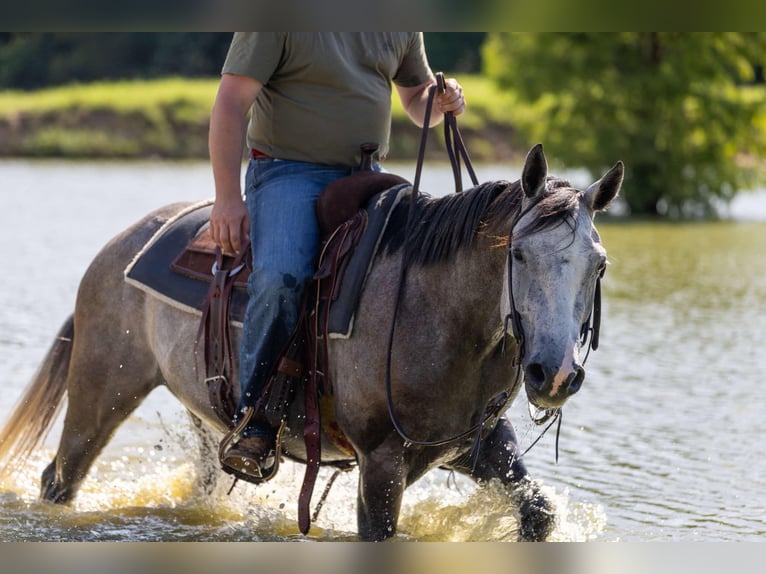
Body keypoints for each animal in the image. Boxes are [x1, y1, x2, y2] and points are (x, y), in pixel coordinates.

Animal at [0, 144, 622, 541]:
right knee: (59, 479)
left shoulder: (478, 445)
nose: (554, 375)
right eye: (518, 253)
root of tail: (122, 243)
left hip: (203, 414)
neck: (432, 310)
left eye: (599, 264)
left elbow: (538, 514)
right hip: (102, 390)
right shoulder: (381, 462)